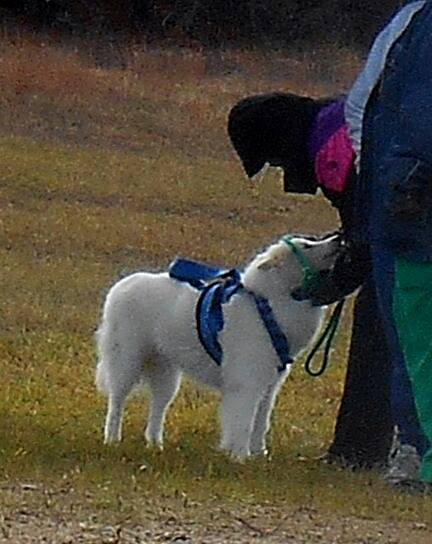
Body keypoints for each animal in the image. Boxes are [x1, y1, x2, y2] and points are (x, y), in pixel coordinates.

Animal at [97, 234, 340, 460]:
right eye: (307, 246)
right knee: (116, 402)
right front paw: (240, 457)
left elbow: (261, 424)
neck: (268, 302)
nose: (339, 237)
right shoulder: (247, 384)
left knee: (157, 409)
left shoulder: (269, 387)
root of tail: (120, 286)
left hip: (166, 375)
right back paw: (112, 440)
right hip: (127, 363)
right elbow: (242, 423)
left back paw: (156, 445)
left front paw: (259, 455)